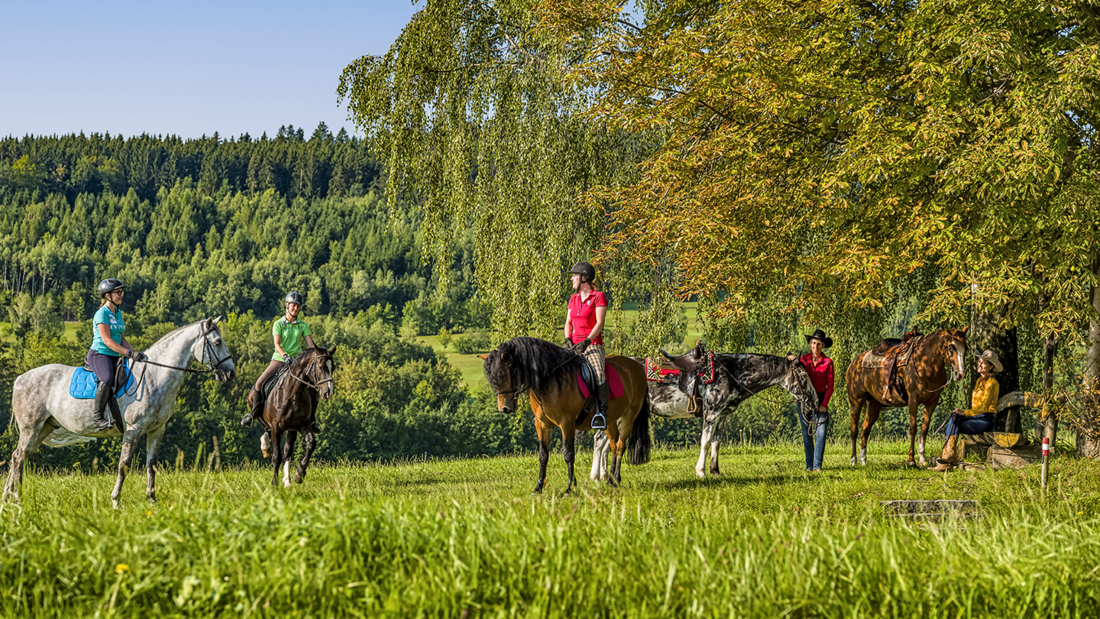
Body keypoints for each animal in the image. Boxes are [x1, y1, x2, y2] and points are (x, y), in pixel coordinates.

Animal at [3, 318, 235, 507]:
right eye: (217, 343)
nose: (230, 374)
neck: (155, 375)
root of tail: (20, 378)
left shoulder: (157, 429)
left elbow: (151, 465)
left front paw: (152, 500)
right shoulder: (134, 429)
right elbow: (124, 465)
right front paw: (116, 501)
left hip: (44, 428)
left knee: (18, 456)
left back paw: (7, 498)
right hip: (31, 428)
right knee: (19, 457)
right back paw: (17, 498)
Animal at [249, 347, 334, 485]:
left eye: (334, 367)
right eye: (321, 367)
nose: (329, 392)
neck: (293, 392)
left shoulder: (302, 425)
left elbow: (311, 444)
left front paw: (299, 474)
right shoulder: (276, 428)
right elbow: (276, 456)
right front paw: (274, 483)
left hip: (291, 429)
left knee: (287, 451)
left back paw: (287, 481)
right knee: (265, 429)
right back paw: (265, 446)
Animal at [479, 336, 646, 496]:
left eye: (507, 373)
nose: (504, 408)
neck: (549, 380)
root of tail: (635, 365)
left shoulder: (567, 423)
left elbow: (568, 454)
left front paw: (569, 488)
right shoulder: (542, 423)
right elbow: (543, 455)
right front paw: (538, 488)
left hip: (629, 416)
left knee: (620, 445)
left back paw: (616, 480)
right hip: (610, 419)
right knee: (613, 444)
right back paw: (610, 481)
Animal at [594, 349, 818, 479]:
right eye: (803, 375)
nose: (815, 400)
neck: (731, 372)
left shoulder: (723, 415)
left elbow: (716, 442)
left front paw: (715, 470)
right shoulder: (712, 412)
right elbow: (705, 441)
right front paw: (700, 472)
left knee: (605, 441)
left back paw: (602, 476)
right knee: (600, 440)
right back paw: (597, 476)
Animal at [844, 329, 968, 466]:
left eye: (965, 348)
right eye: (951, 347)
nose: (960, 374)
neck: (925, 364)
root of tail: (854, 363)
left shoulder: (931, 402)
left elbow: (924, 428)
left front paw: (922, 458)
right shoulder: (913, 400)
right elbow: (913, 428)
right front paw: (911, 460)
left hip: (874, 405)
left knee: (865, 428)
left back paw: (863, 460)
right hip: (856, 401)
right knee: (854, 430)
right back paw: (854, 460)